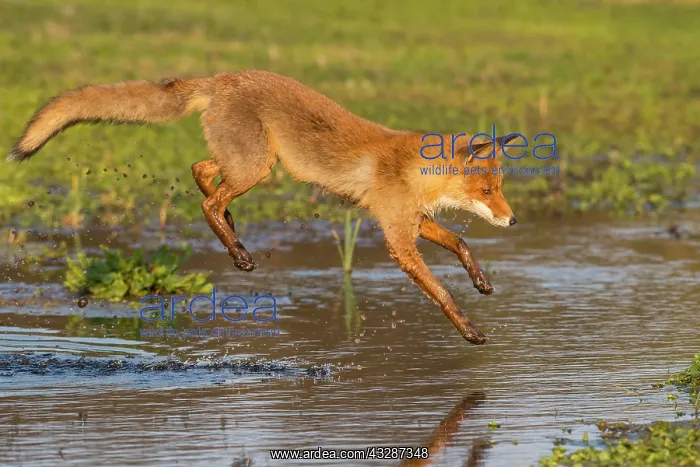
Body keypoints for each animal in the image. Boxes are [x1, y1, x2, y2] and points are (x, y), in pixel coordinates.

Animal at [9, 70, 518, 344]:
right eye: (487, 191)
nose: (513, 219)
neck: (412, 173)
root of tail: (219, 79)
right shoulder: (397, 237)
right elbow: (442, 293)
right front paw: (469, 330)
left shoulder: (414, 222)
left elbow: (461, 241)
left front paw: (481, 281)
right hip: (258, 166)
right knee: (208, 202)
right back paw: (238, 252)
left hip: (247, 162)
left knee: (200, 171)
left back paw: (232, 227)